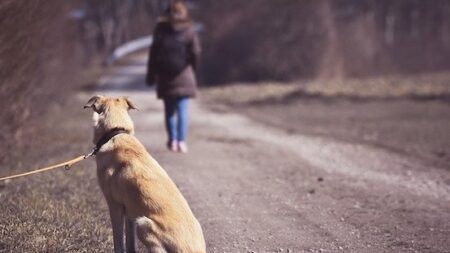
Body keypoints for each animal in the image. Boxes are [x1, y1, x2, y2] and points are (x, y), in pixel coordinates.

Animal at [84, 95, 206, 253]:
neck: (116, 132)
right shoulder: (130, 211)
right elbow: (130, 245)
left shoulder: (115, 206)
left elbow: (118, 243)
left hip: (143, 225)